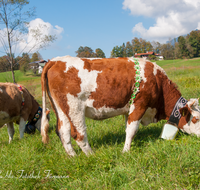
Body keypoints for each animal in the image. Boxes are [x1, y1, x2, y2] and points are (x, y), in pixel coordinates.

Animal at [40, 56, 200, 156]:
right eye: (195, 119)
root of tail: (55, 60)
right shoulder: (140, 103)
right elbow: (132, 129)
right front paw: (125, 152)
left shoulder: (128, 110)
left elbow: (127, 128)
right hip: (74, 108)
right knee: (78, 134)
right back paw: (91, 155)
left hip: (61, 109)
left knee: (63, 131)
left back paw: (73, 157)